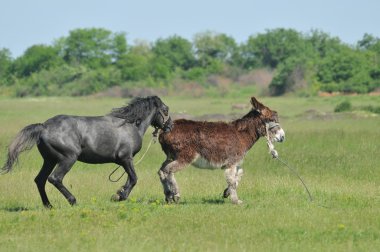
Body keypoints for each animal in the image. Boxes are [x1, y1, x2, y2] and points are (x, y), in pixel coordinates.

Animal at [1, 95, 172, 208]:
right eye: (165, 110)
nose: (170, 126)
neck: (130, 126)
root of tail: (43, 126)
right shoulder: (125, 158)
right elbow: (134, 178)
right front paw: (120, 196)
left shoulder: (124, 161)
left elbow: (129, 180)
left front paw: (118, 194)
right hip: (68, 158)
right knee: (55, 178)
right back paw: (73, 201)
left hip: (49, 160)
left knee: (40, 180)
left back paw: (48, 205)